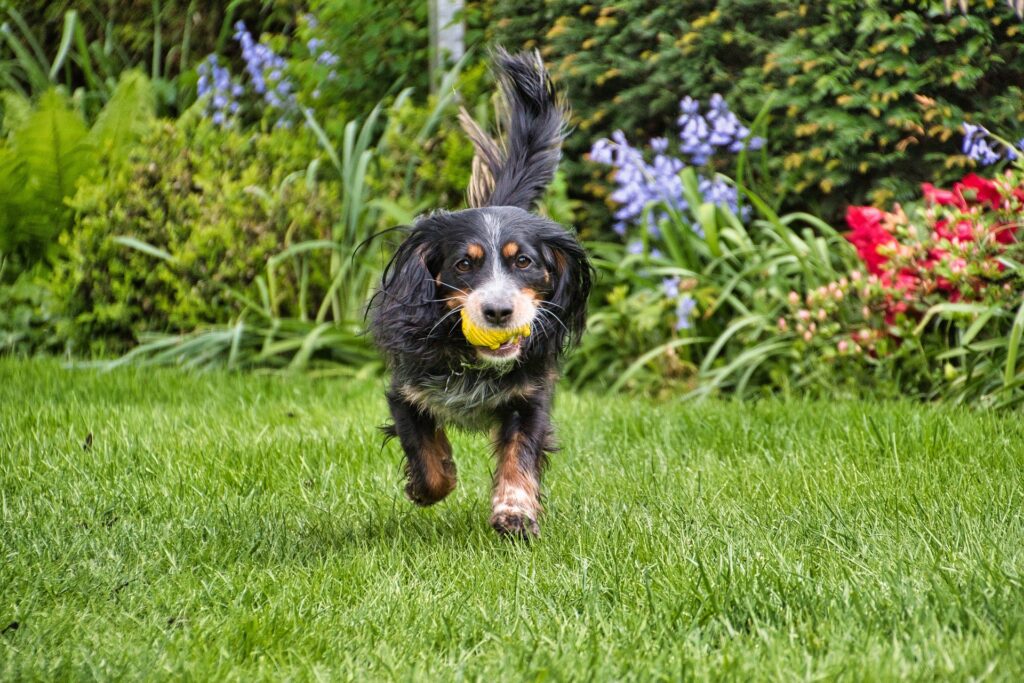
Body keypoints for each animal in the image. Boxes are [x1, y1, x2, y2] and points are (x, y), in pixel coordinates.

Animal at [370, 48, 593, 540]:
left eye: (523, 261)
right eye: (464, 264)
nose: (498, 312)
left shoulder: (531, 395)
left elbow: (520, 454)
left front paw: (516, 513)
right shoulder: (406, 391)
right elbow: (427, 458)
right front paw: (430, 484)